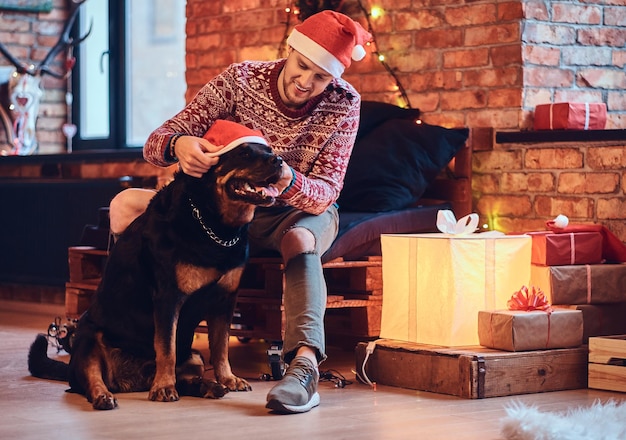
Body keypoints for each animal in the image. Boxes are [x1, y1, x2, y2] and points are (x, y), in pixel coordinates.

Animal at [28, 137, 282, 410]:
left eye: (269, 150)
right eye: (243, 153)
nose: (279, 161)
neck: (214, 226)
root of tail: (129, 380)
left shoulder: (224, 301)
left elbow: (220, 346)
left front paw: (227, 378)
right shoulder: (168, 298)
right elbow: (166, 348)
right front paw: (163, 387)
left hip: (194, 355)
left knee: (188, 376)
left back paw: (209, 386)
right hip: (88, 337)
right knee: (91, 379)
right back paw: (105, 396)